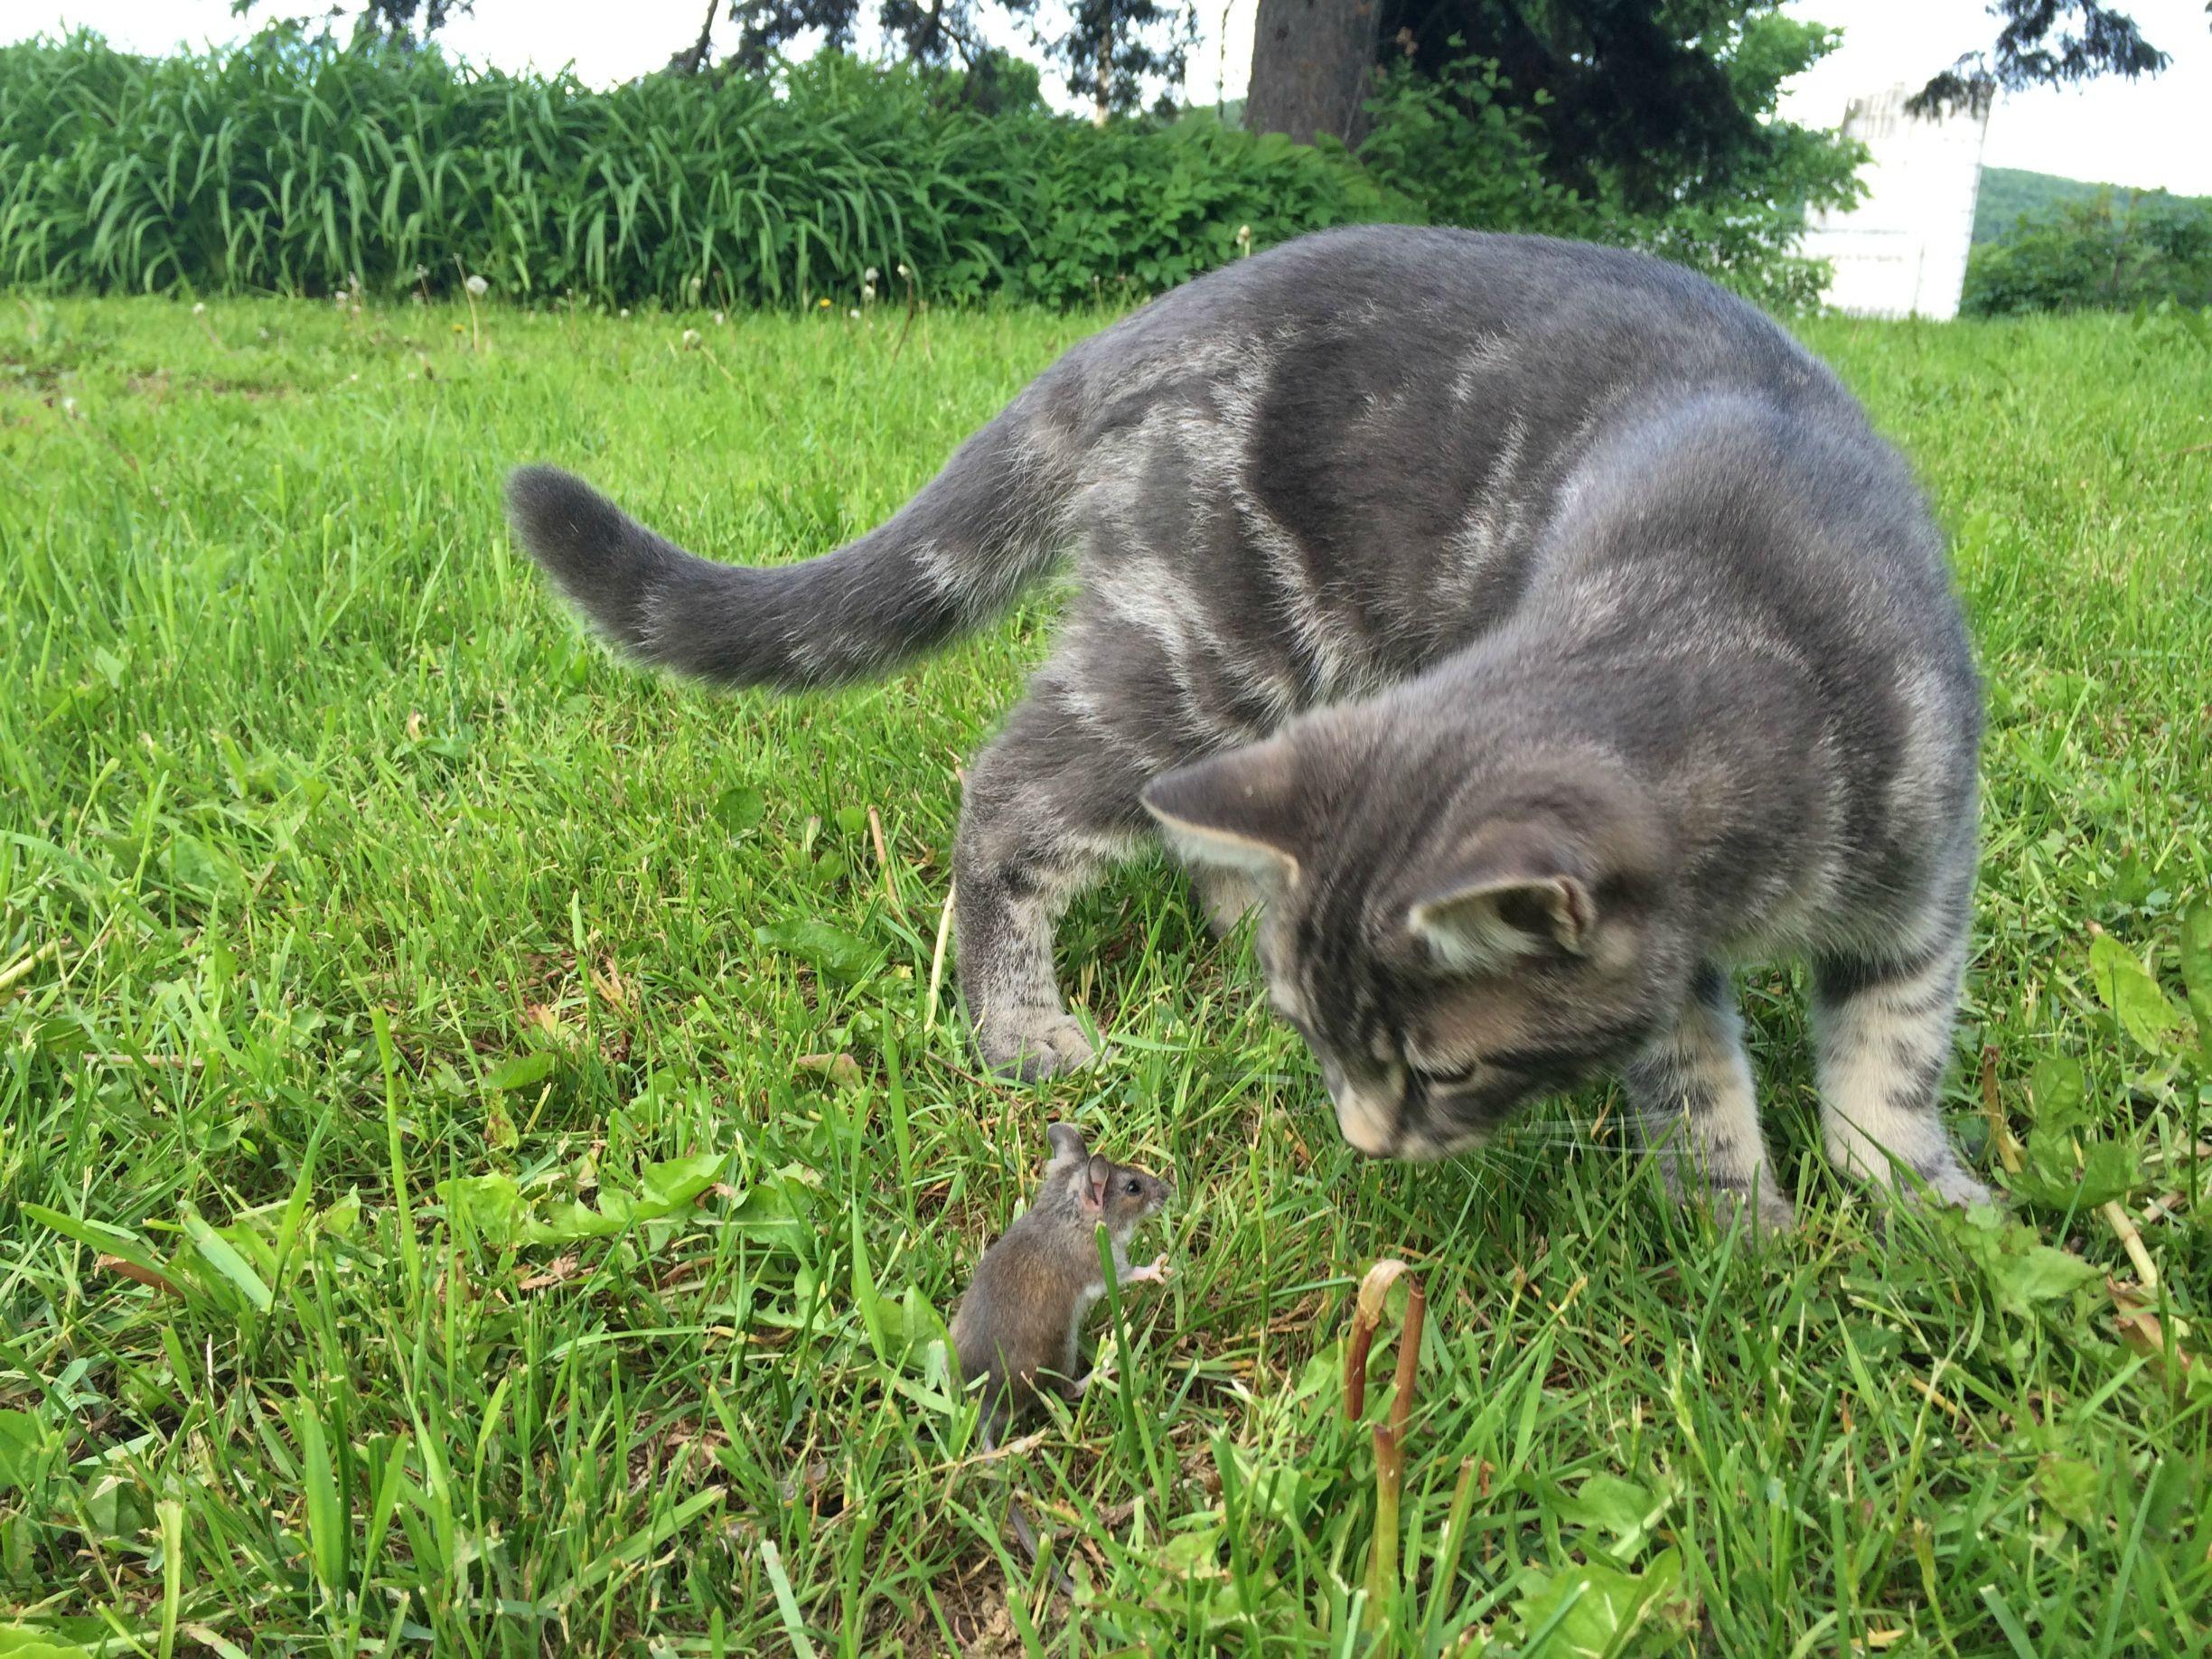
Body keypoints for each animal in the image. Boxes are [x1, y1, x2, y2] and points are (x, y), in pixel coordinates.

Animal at [509, 228, 1999, 1230]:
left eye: (1441, 1067)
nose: (1363, 1139)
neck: (1730, 595)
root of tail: (1141, 326)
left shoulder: (1925, 876)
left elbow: (1894, 1053)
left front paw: (1919, 1207)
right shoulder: (1670, 971)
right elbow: (1696, 1092)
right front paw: (1742, 1237)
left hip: (1268, 696)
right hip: (1205, 636)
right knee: (1013, 792)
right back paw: (1023, 1023)